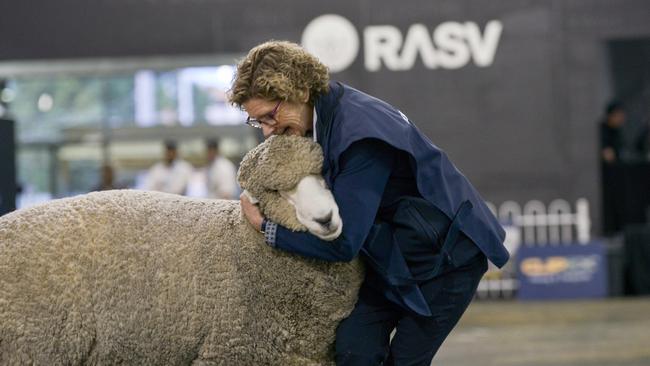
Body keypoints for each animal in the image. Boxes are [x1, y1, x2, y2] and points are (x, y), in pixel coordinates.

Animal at [0, 135, 364, 366]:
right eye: (275, 191)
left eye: (323, 172)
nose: (326, 219)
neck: (244, 244)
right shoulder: (228, 349)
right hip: (30, 347)